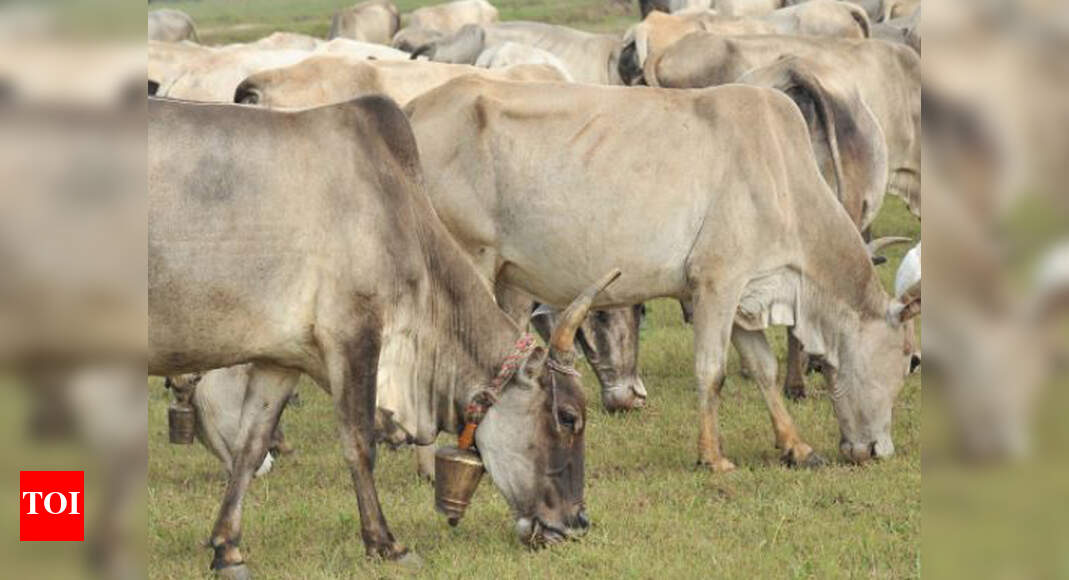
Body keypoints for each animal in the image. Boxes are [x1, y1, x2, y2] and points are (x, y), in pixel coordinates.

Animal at [150, 95, 614, 570]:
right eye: (568, 417)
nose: (576, 523)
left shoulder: (280, 359)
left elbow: (251, 447)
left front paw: (227, 546)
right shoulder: (354, 336)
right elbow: (360, 444)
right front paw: (385, 542)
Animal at [404, 77, 921, 471]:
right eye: (912, 361)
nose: (879, 450)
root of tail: (413, 108)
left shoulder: (744, 292)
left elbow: (764, 370)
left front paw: (796, 446)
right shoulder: (716, 282)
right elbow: (712, 372)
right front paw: (713, 458)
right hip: (468, 259)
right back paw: (431, 464)